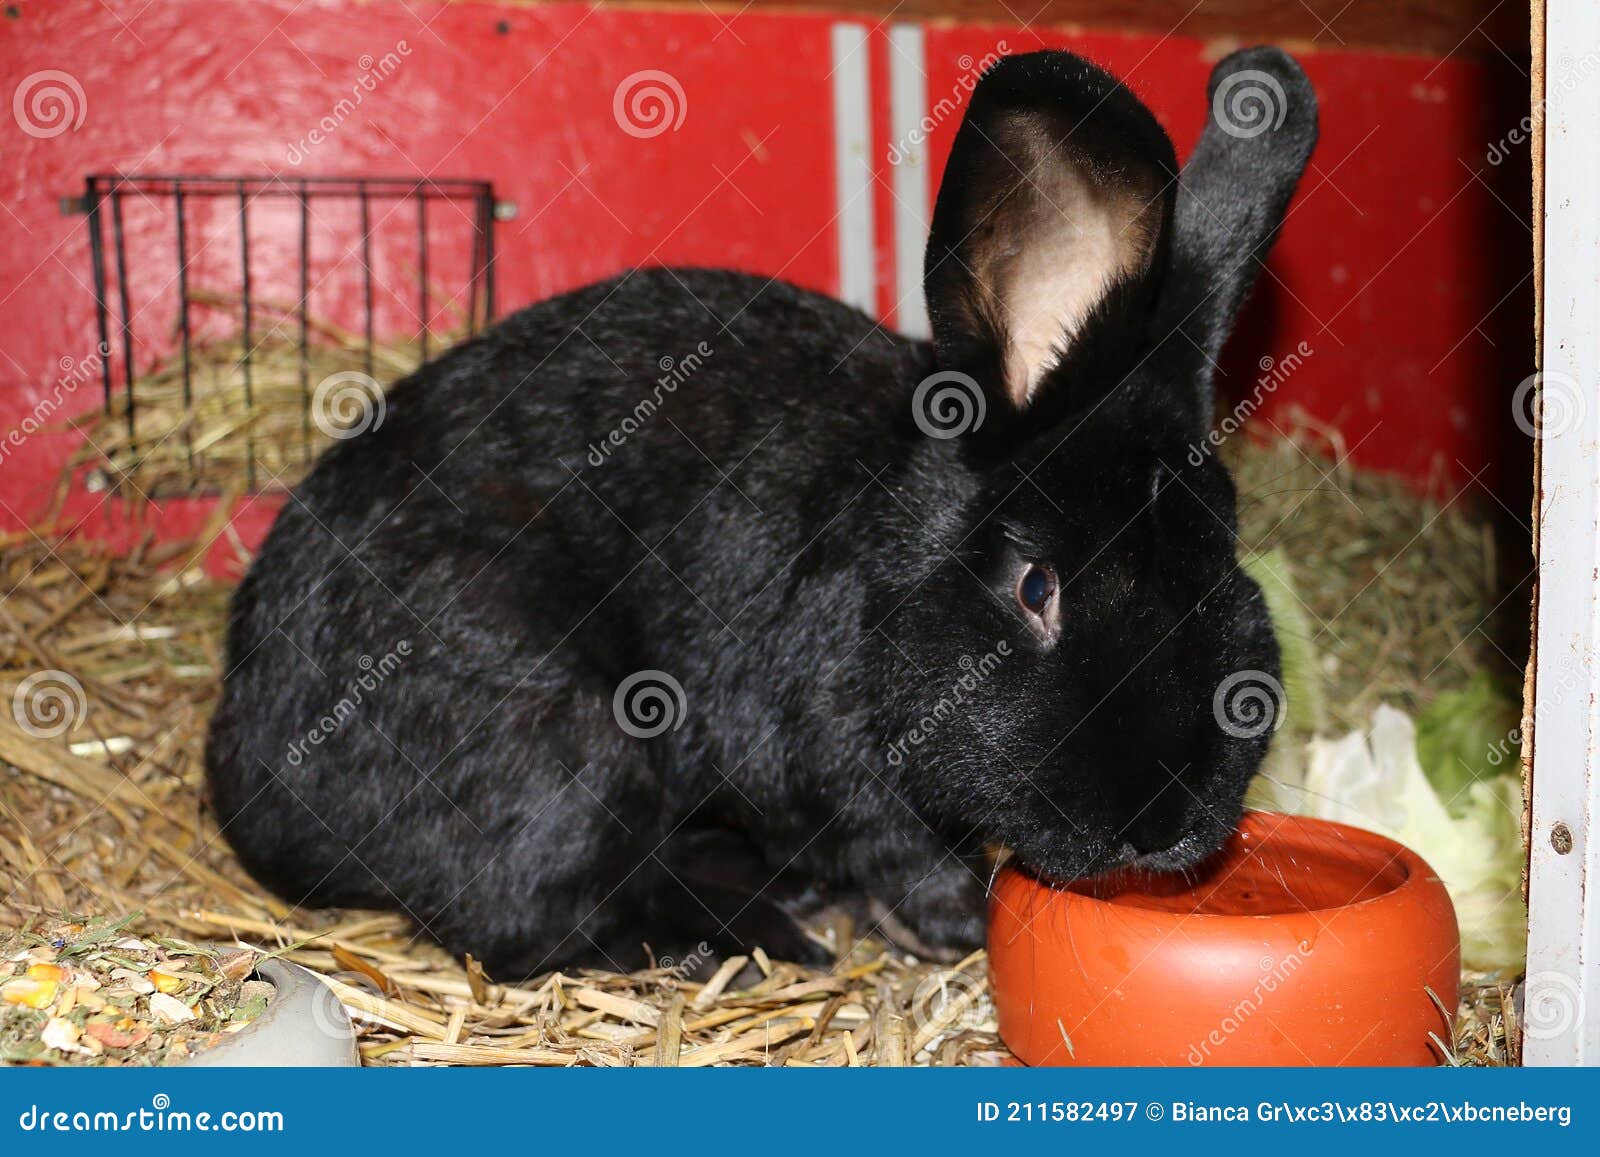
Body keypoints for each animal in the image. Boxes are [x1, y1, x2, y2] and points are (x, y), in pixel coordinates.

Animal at [205, 46, 1317, 979]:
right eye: (1036, 585)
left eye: (1226, 556)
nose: (1166, 823)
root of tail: (247, 778)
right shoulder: (831, 756)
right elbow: (899, 847)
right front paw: (955, 922)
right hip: (560, 742)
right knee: (534, 917)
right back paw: (750, 936)